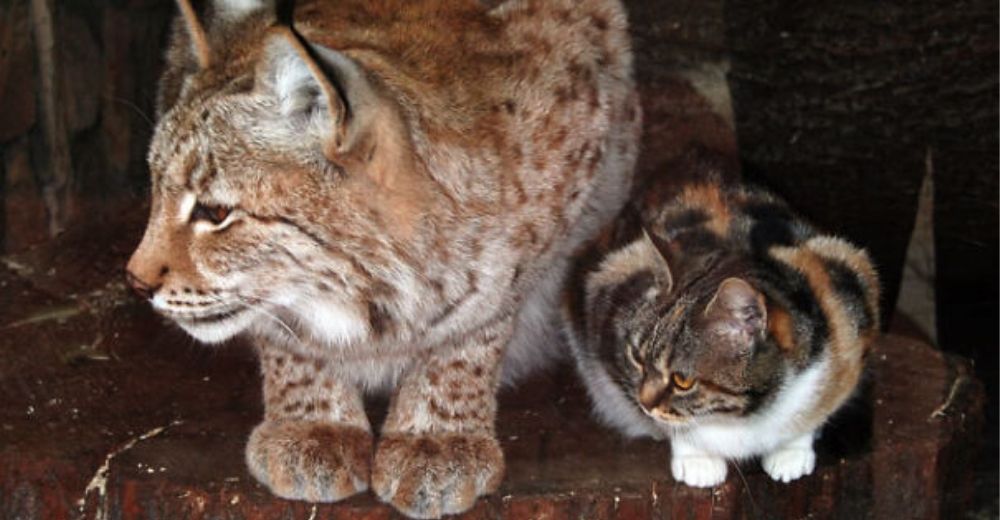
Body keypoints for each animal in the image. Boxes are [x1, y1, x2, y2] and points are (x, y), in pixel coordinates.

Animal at [127, 0, 640, 516]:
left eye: (215, 213)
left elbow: (479, 320)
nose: (136, 281)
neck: (373, 296)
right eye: (155, 189)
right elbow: (287, 337)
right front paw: (315, 425)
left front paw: (435, 439)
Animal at [568, 170, 880, 488]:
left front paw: (792, 453)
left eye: (682, 381)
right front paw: (697, 460)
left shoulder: (848, 301)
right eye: (637, 359)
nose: (644, 404)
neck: (745, 416)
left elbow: (818, 410)